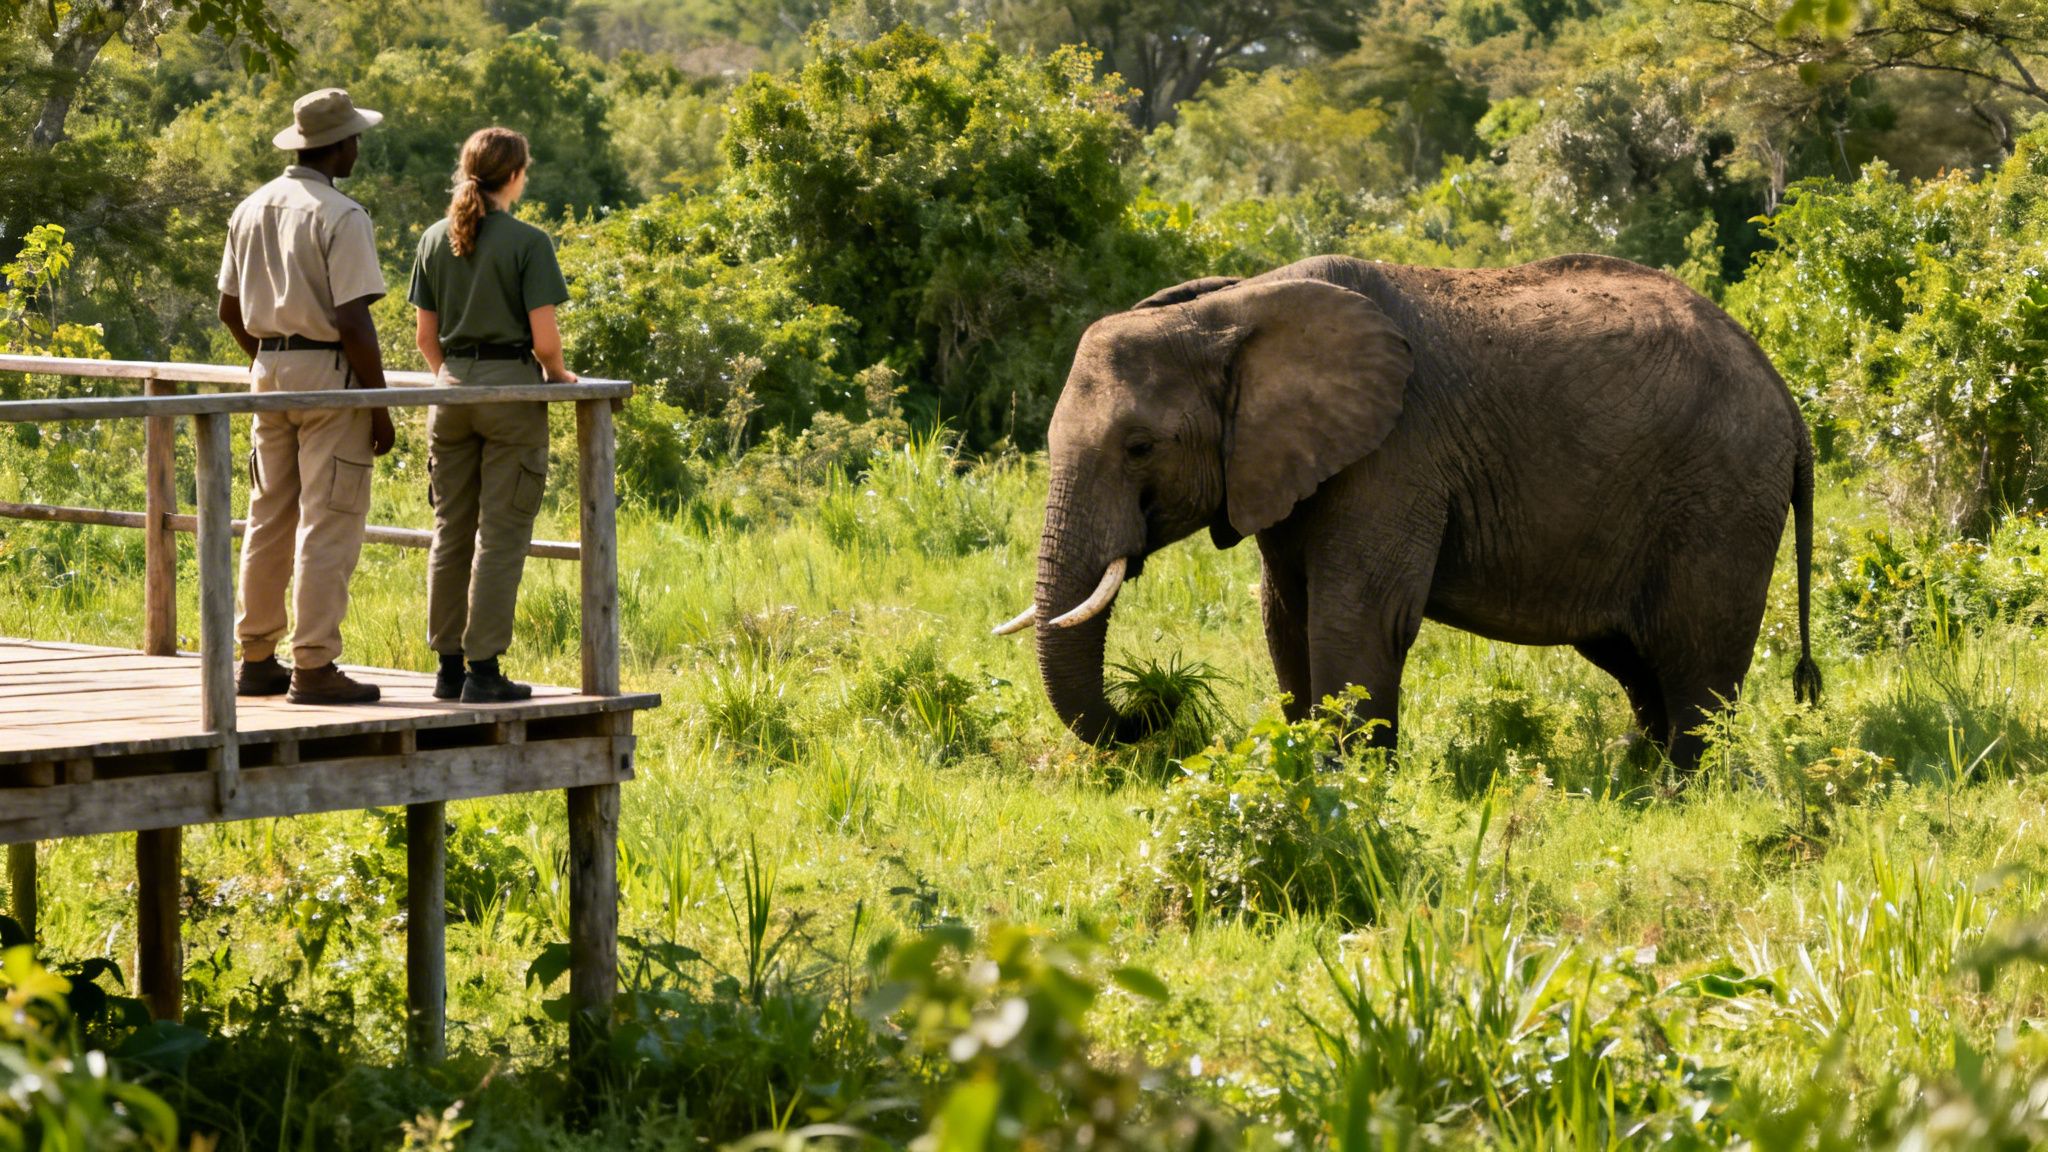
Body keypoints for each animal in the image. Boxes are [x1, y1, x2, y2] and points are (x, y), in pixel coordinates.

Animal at [994, 253, 1821, 770]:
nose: (1157, 708)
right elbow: (1284, 614)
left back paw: (1680, 789)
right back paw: (1633, 772)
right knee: (1635, 658)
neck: (1230, 309)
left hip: (1722, 498)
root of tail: (1787, 396)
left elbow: (1358, 612)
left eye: (1139, 448)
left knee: (1696, 656)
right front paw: (1309, 767)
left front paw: (1349, 781)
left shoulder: (1395, 454)